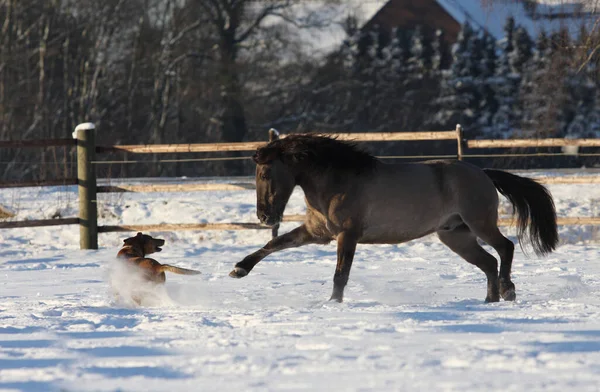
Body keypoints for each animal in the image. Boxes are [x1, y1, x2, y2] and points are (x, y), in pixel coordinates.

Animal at [229, 134, 556, 304]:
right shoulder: (317, 233)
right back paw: (489, 301)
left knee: (505, 248)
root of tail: (483, 173)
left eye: (265, 174)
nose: (264, 216)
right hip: (455, 235)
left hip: (479, 224)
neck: (338, 180)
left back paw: (508, 290)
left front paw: (333, 304)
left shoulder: (347, 235)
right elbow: (274, 245)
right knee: (488, 262)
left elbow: (340, 274)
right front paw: (239, 269)